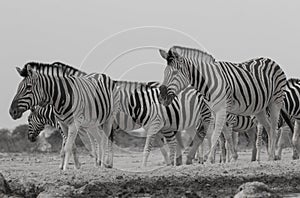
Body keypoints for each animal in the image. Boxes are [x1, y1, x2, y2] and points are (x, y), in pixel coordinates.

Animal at [159, 46, 292, 162]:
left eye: (175, 73)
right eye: (164, 72)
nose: (162, 97)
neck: (209, 82)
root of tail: (271, 60)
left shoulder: (222, 110)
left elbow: (215, 136)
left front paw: (209, 160)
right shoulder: (215, 111)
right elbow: (226, 136)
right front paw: (232, 157)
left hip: (275, 101)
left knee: (274, 129)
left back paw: (271, 157)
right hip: (260, 109)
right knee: (268, 128)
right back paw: (268, 156)